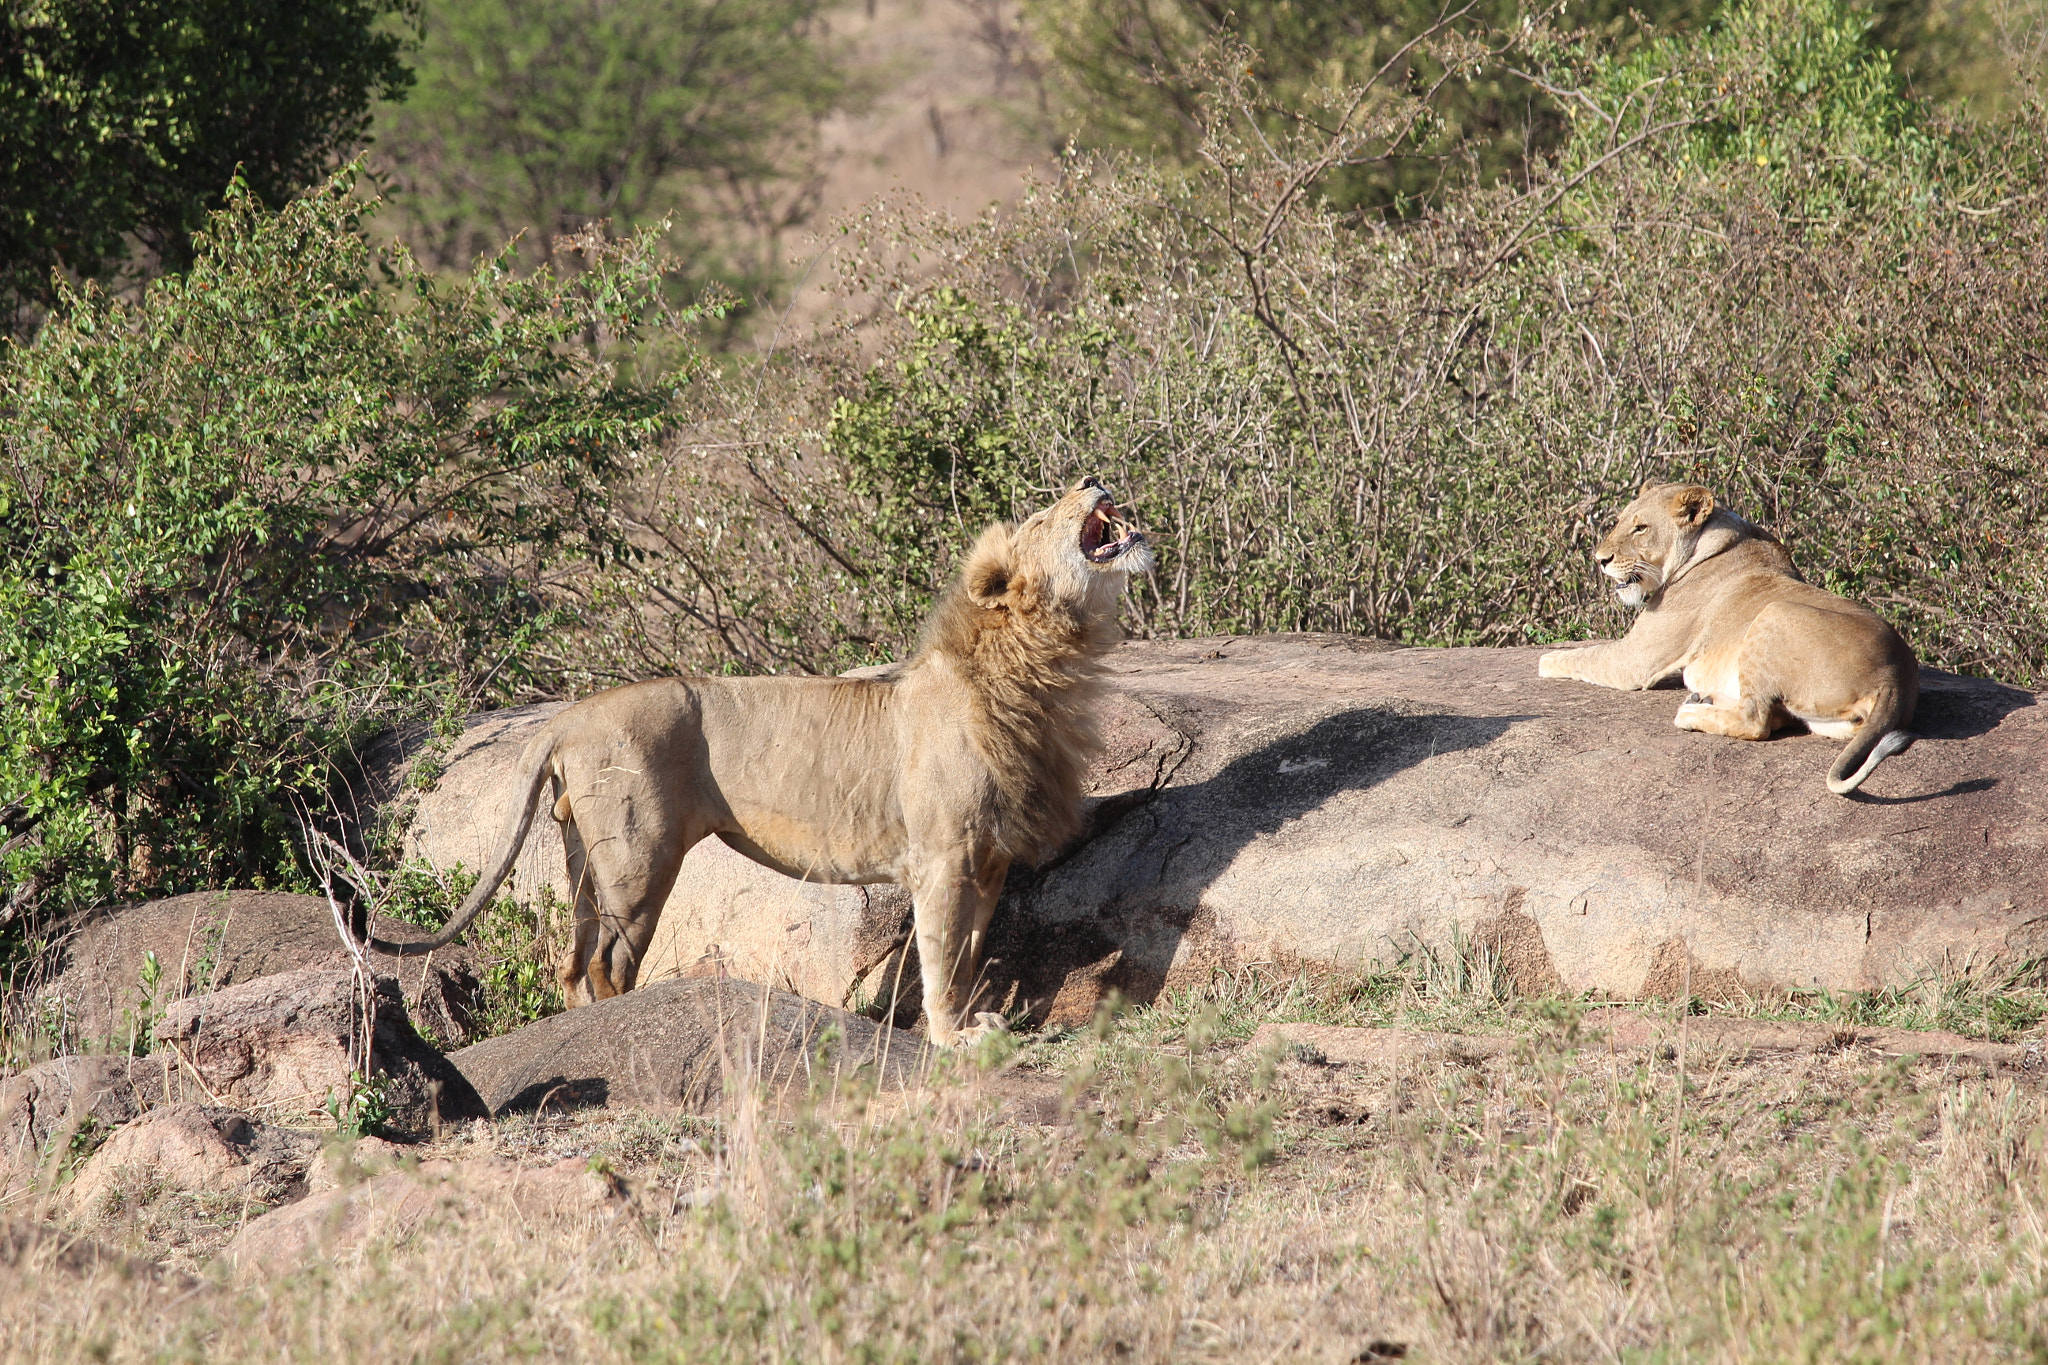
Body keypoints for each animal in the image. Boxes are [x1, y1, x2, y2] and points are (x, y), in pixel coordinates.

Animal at [372, 478, 1155, 1047]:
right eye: (1044, 515)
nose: (1092, 477)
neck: (1046, 664)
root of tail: (568, 714)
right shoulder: (944, 857)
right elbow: (939, 957)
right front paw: (952, 1039)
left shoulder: (987, 860)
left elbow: (964, 954)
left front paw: (970, 1022)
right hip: (639, 856)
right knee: (606, 959)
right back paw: (620, 1023)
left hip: (584, 853)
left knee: (571, 957)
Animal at [1540, 482, 1916, 794]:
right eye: (1619, 522)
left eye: (1641, 528)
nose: (1600, 560)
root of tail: (1895, 675)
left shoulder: (1635, 660)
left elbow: (1580, 656)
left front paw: (1544, 661)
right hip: (1830, 722)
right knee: (1776, 715)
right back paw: (1703, 698)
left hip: (1774, 613)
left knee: (1757, 722)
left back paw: (1690, 712)